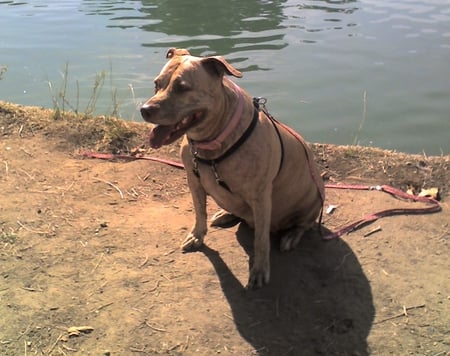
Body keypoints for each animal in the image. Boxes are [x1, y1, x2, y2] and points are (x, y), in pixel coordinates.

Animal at [141, 48, 324, 290]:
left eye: (182, 87)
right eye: (157, 84)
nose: (144, 110)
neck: (213, 139)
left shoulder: (261, 196)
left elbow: (261, 240)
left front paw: (259, 270)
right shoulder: (193, 181)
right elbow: (199, 213)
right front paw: (197, 236)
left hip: (313, 199)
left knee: (305, 224)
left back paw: (291, 236)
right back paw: (226, 214)